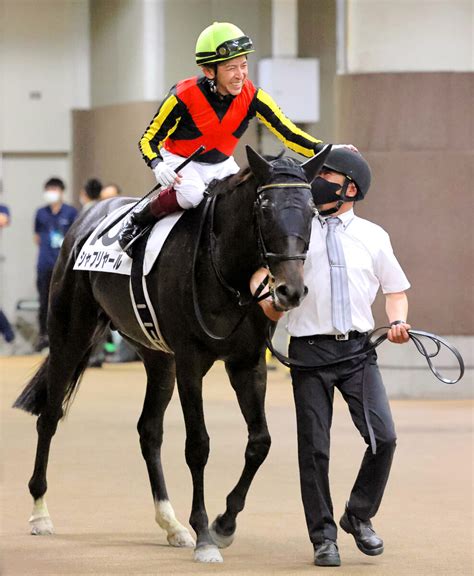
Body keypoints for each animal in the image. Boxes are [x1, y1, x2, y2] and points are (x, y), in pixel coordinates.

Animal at [13, 144, 330, 564]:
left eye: (311, 211)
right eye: (264, 208)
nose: (290, 291)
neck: (223, 267)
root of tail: (90, 215)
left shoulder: (245, 363)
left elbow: (260, 441)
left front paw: (224, 523)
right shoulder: (191, 362)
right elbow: (198, 446)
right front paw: (205, 536)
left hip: (157, 357)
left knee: (149, 430)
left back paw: (171, 523)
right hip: (71, 333)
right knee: (49, 416)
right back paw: (40, 513)